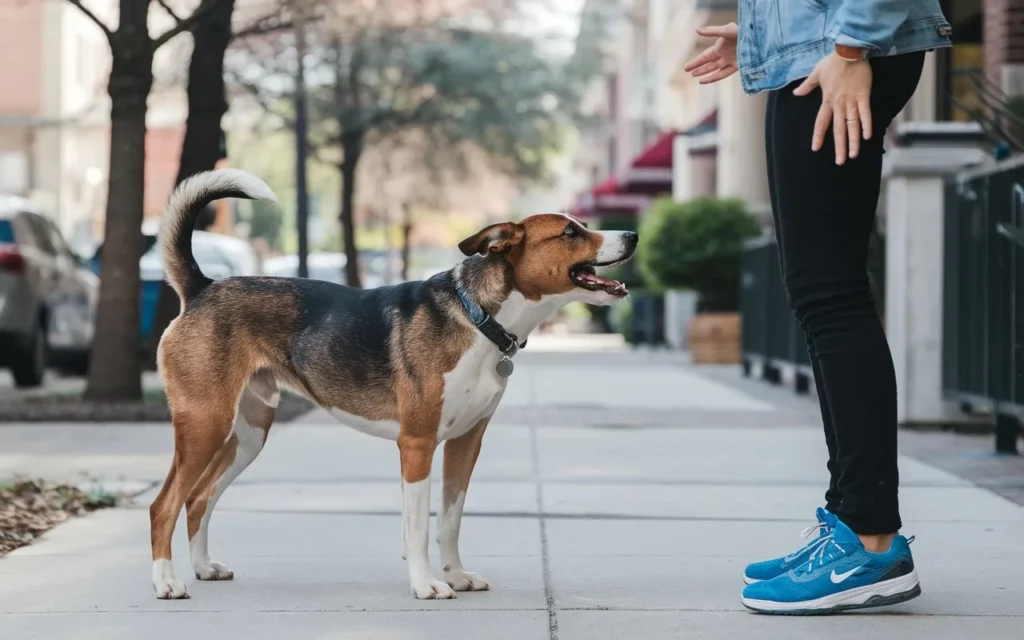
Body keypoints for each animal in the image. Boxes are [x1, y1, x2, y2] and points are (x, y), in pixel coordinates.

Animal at [149, 169, 634, 598]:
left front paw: (456, 576)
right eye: (570, 232)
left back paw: (203, 567)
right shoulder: (417, 444)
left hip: (249, 433)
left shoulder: (465, 444)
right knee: (164, 505)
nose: (632, 235)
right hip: (205, 424)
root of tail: (202, 288)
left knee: (198, 498)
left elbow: (449, 522)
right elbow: (418, 528)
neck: (478, 317)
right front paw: (426, 586)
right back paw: (167, 583)